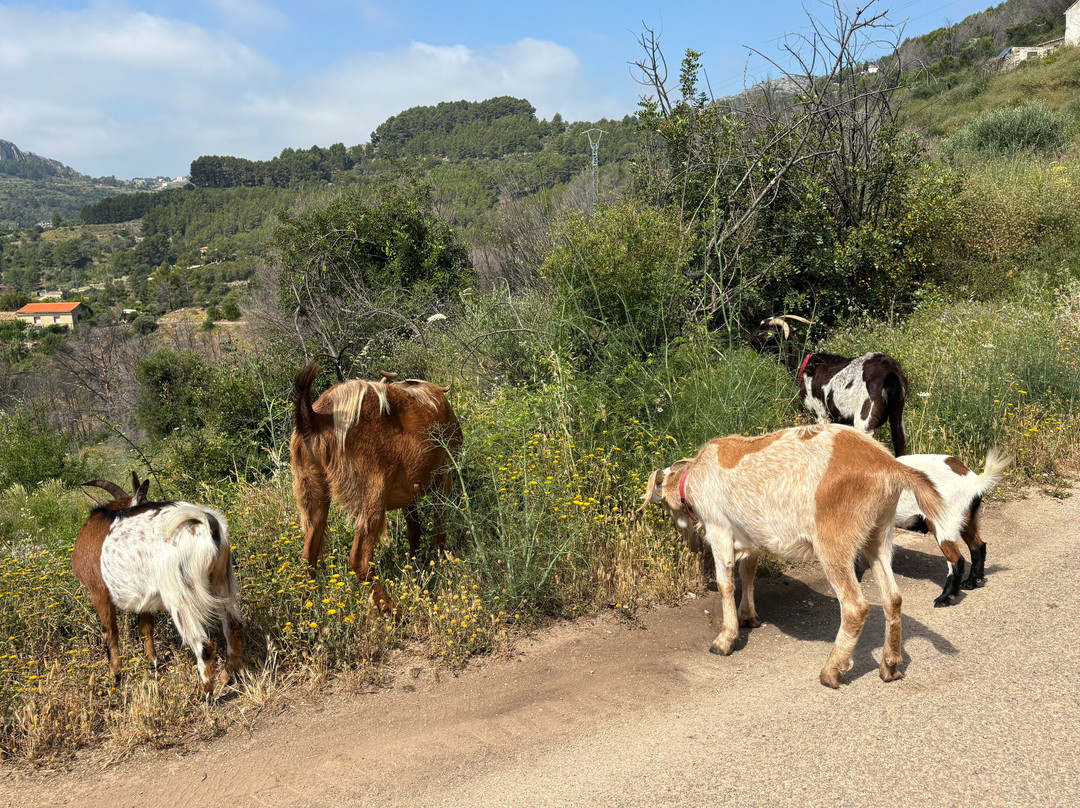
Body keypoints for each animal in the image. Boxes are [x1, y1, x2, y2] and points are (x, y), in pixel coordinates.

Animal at [71, 474, 242, 693]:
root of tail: (207, 525)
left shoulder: (98, 591)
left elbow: (110, 632)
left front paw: (114, 675)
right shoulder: (145, 597)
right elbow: (146, 628)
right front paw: (152, 663)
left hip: (180, 594)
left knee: (204, 646)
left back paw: (204, 693)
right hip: (222, 580)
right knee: (233, 626)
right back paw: (227, 676)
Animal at [290, 361, 463, 612]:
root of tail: (314, 418)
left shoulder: (409, 491)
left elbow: (414, 530)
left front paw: (416, 567)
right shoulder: (444, 473)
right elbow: (439, 526)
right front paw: (441, 565)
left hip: (311, 490)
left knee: (308, 556)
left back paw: (308, 609)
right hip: (371, 494)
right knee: (359, 559)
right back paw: (394, 611)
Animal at [641, 423, 945, 688]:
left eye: (666, 506)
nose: (690, 545)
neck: (694, 477)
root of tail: (888, 464)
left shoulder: (719, 528)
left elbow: (726, 582)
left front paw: (724, 640)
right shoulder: (752, 537)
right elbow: (747, 573)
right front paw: (748, 616)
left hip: (834, 541)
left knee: (855, 606)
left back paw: (831, 672)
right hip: (878, 534)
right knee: (892, 597)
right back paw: (890, 666)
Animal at [749, 314, 908, 456]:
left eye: (764, 332)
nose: (749, 339)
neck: (806, 364)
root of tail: (890, 371)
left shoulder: (819, 412)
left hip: (865, 419)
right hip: (897, 418)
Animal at [893, 448, 1011, 607]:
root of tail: (974, 482)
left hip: (942, 523)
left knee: (957, 560)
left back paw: (945, 597)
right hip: (966, 519)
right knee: (977, 546)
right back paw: (971, 582)